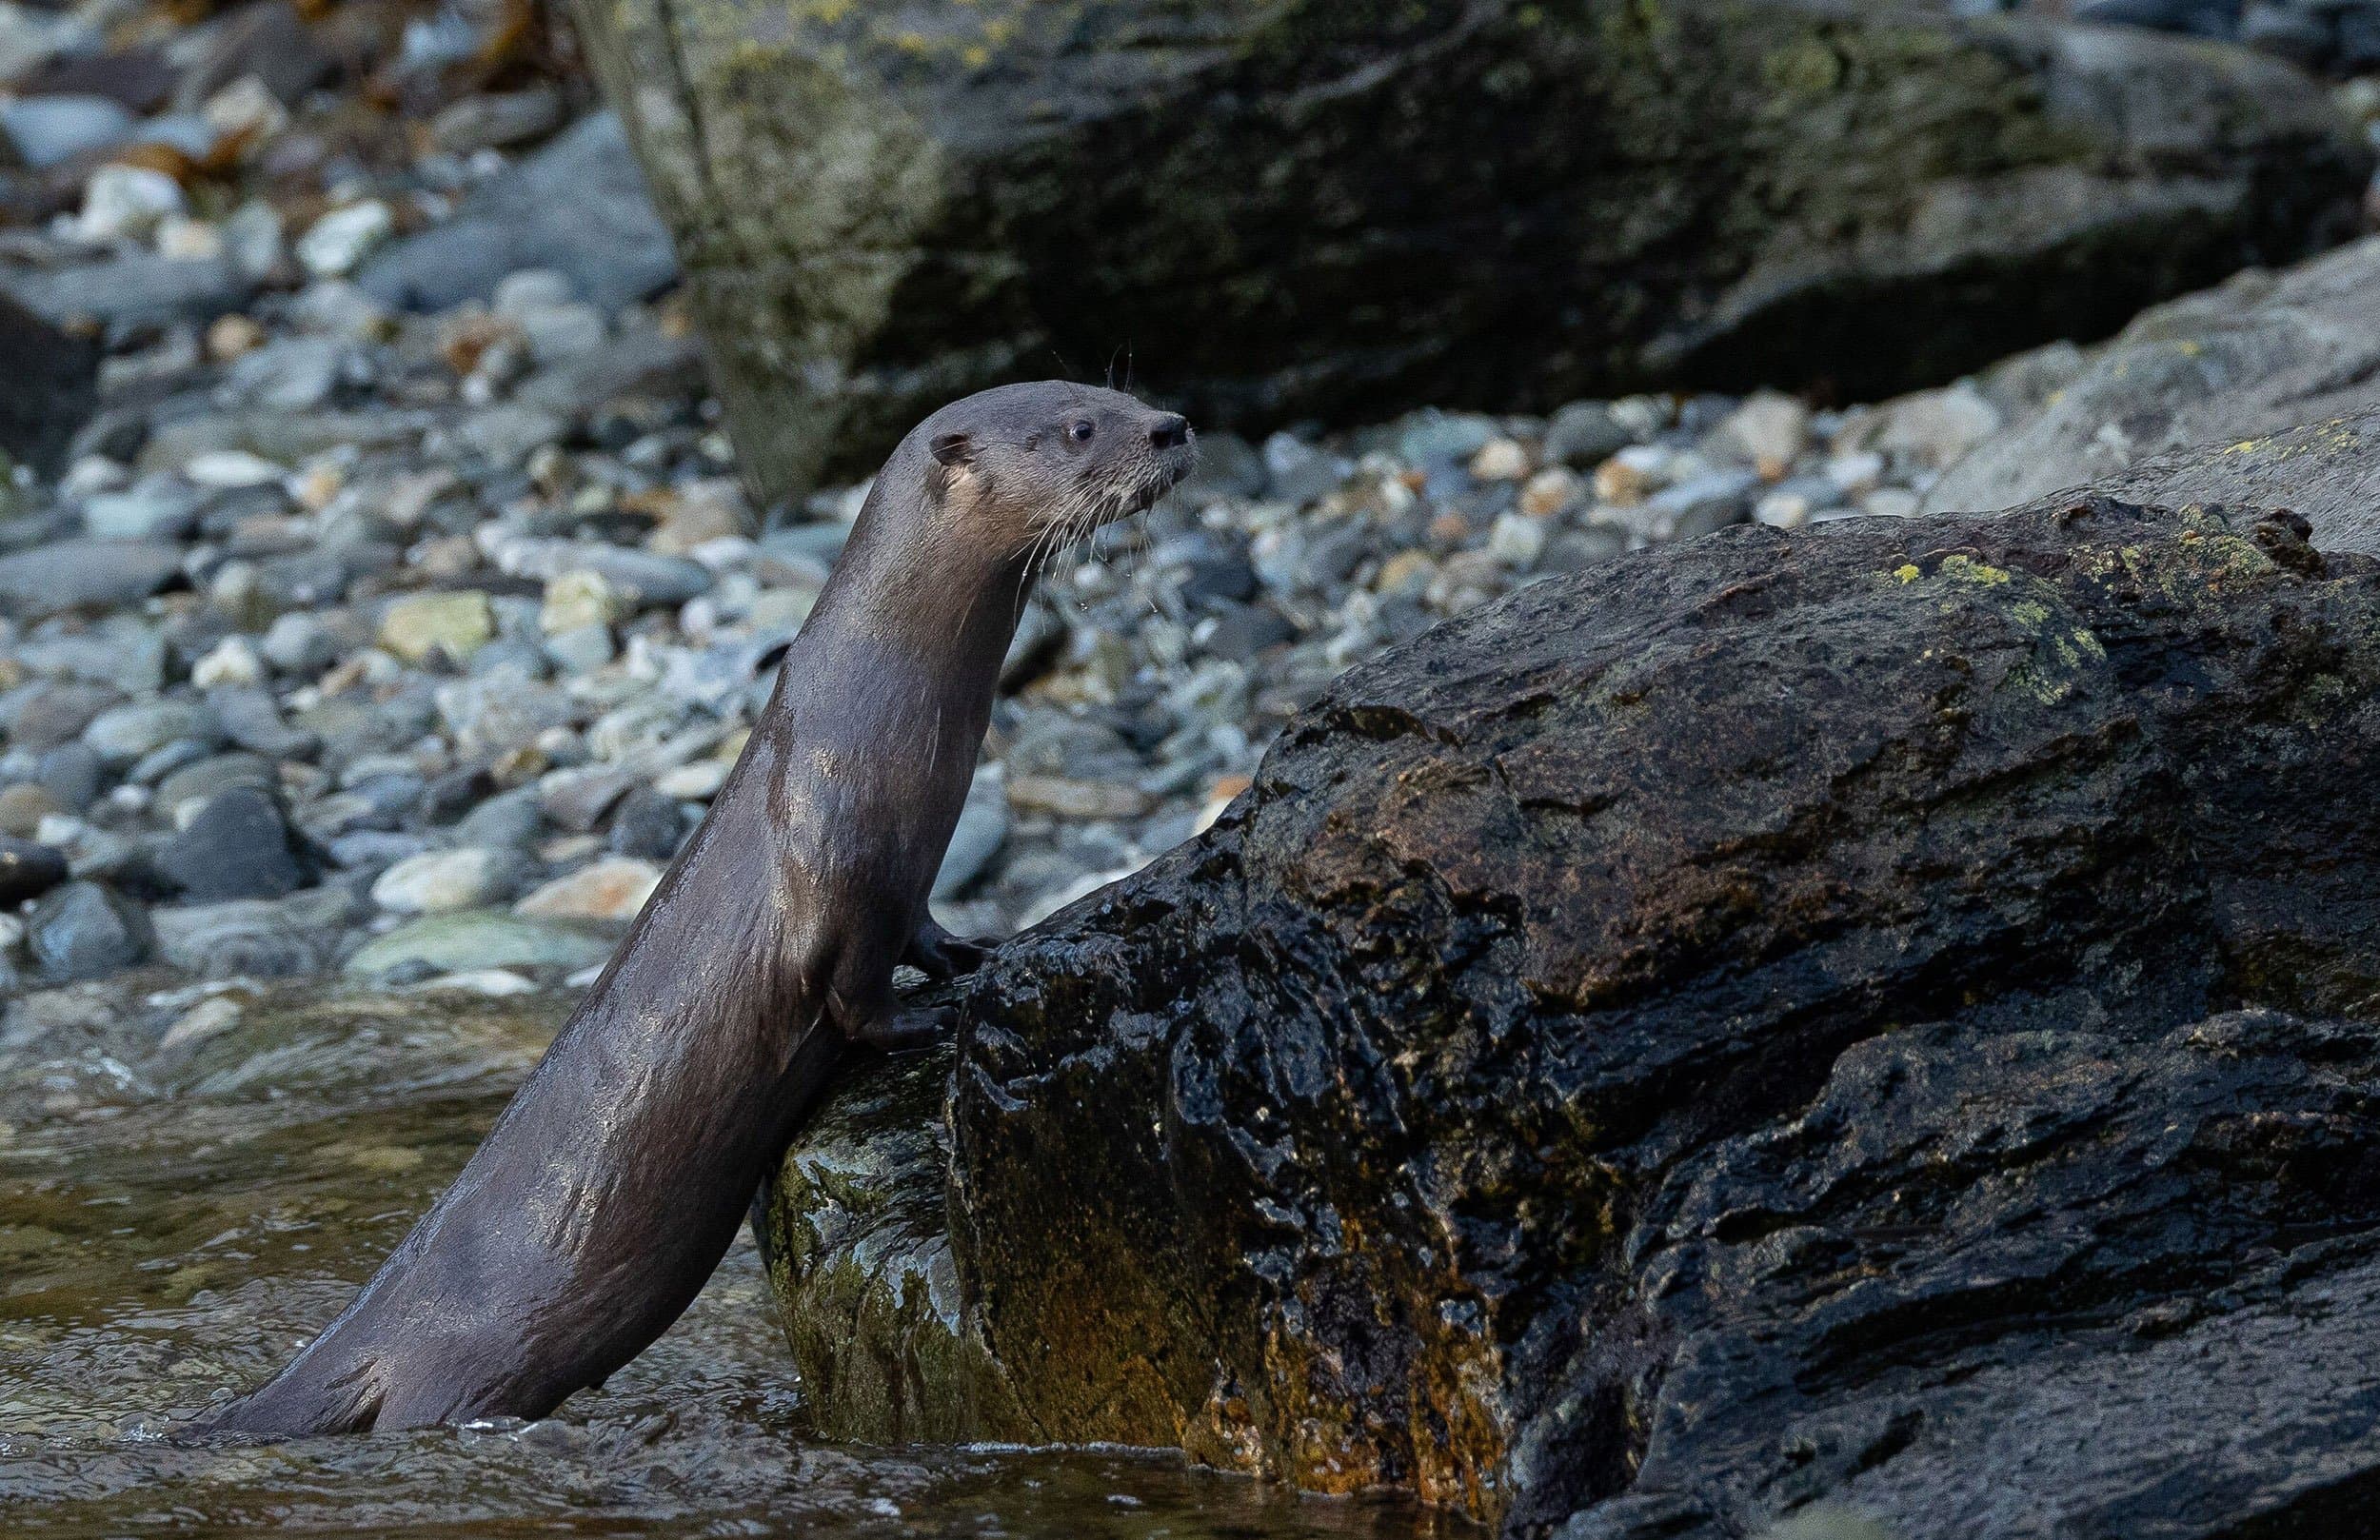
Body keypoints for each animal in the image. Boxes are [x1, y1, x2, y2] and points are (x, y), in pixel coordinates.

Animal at [212, 383, 1195, 1435]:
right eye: (1081, 428)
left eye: (1117, 391)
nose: (1172, 426)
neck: (880, 720)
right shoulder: (835, 872)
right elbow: (855, 998)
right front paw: (929, 1019)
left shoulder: (907, 879)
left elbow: (925, 931)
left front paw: (974, 954)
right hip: (449, 1375)